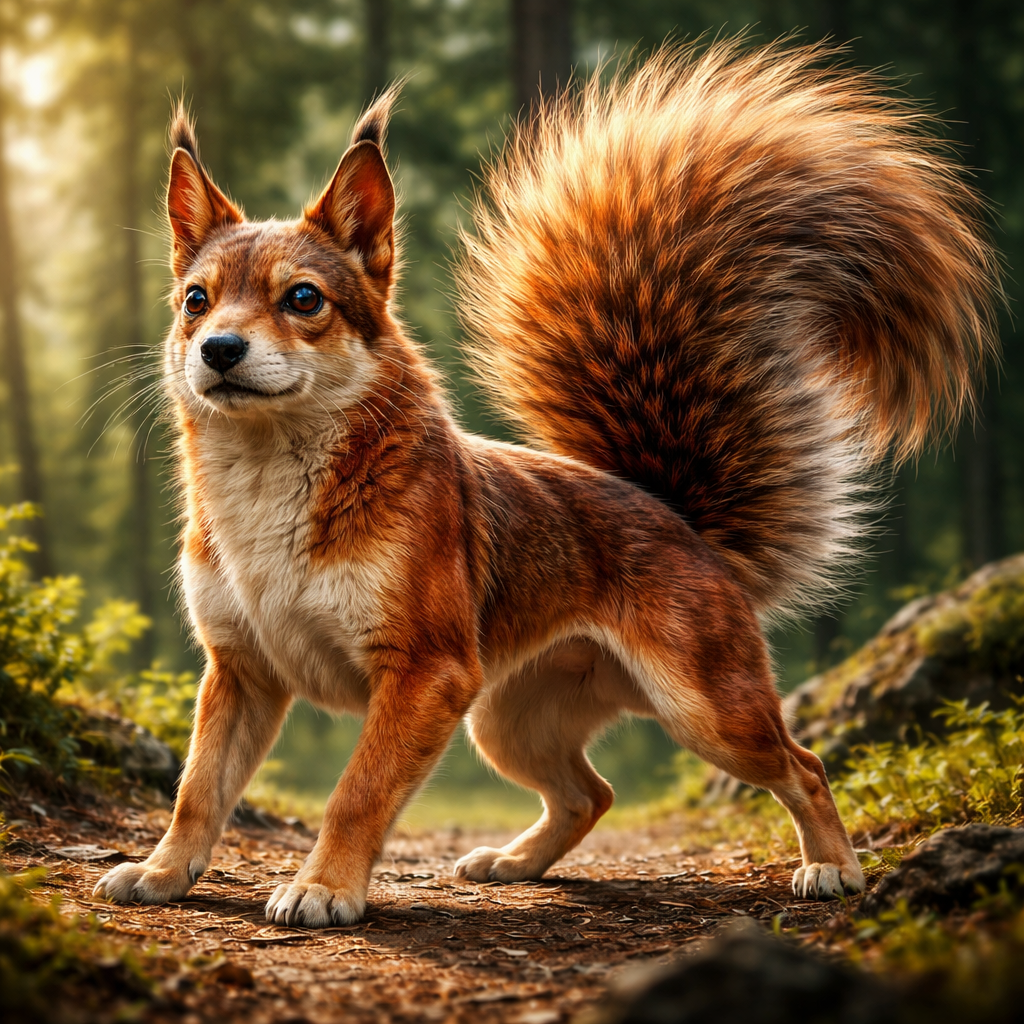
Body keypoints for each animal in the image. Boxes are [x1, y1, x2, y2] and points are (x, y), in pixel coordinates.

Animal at [95, 40, 998, 928]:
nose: (218, 349)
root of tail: (684, 525)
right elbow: (198, 788)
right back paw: (514, 864)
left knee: (800, 764)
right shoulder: (240, 669)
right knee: (589, 793)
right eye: (194, 299)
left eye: (305, 299)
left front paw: (322, 887)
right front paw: (161, 872)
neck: (266, 468)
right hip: (510, 718)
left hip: (701, 706)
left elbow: (358, 790)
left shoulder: (425, 670)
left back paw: (832, 867)